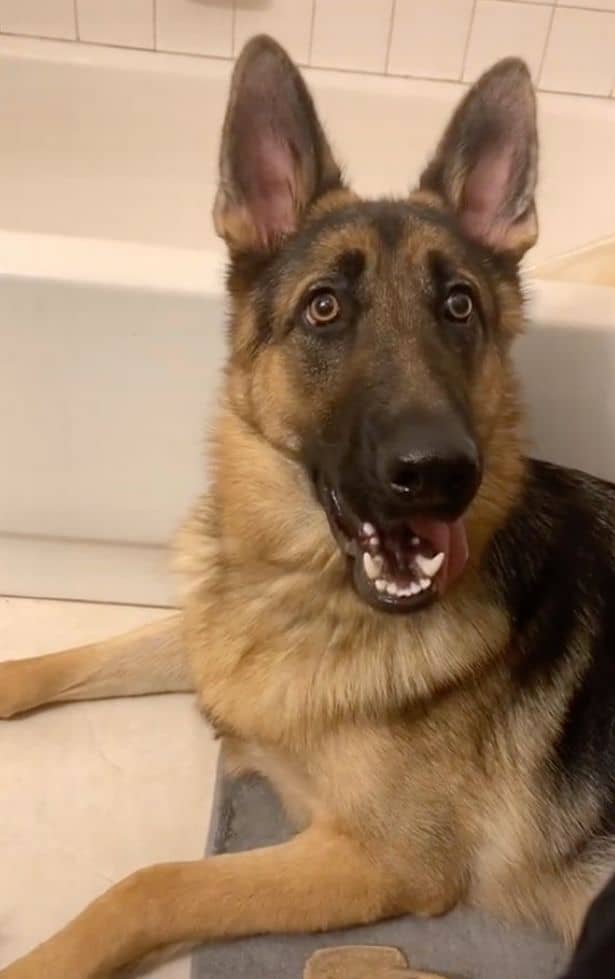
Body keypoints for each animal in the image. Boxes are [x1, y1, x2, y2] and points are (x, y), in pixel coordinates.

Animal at [1, 36, 615, 979]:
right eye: (324, 307)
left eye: (458, 307)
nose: (439, 471)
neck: (303, 591)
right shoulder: (216, 635)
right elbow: (78, 656)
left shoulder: (376, 859)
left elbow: (155, 882)